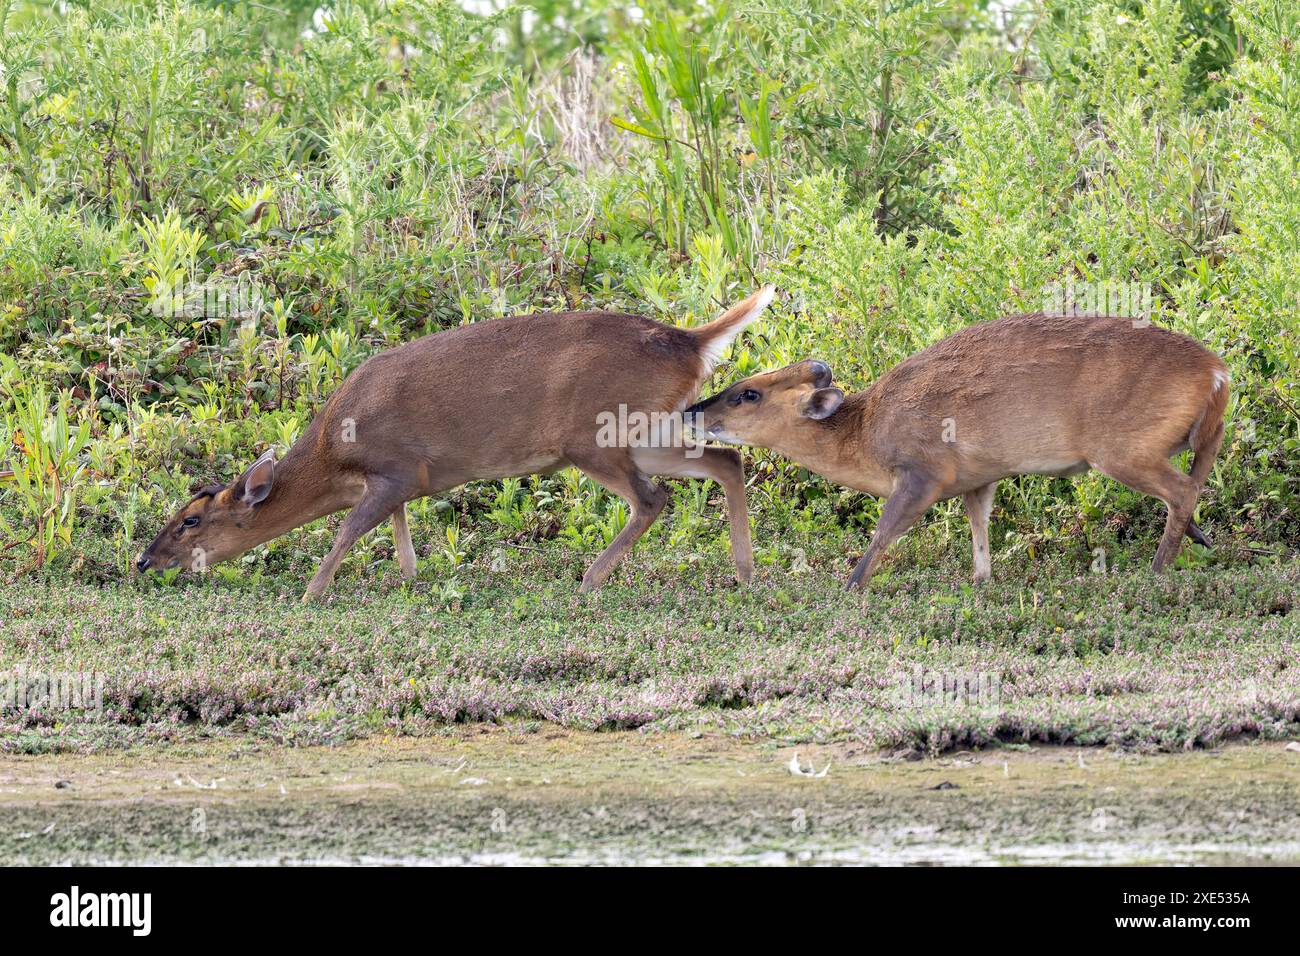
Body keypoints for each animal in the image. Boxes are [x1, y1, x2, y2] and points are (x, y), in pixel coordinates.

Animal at [138, 286, 774, 598]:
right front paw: (406, 578)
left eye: (190, 520)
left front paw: (311, 592)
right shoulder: (399, 482)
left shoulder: (394, 468)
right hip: (649, 428)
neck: (332, 454)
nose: (144, 560)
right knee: (726, 460)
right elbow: (399, 536)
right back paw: (744, 573)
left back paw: (591, 581)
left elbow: (349, 531)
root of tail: (690, 341)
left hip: (593, 434)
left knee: (653, 498)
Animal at [691, 312, 1227, 590]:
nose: (692, 412)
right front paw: (981, 581)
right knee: (1192, 487)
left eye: (747, 394)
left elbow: (883, 532)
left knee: (1182, 491)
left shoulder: (923, 472)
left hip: (1121, 448)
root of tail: (1217, 374)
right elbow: (979, 530)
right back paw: (1198, 544)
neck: (864, 433)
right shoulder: (978, 477)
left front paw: (851, 587)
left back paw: (1155, 571)